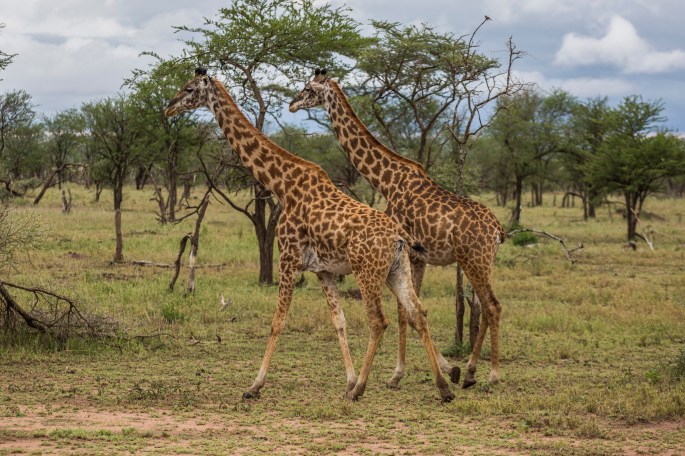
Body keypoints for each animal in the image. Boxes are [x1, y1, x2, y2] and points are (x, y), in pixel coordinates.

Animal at [165, 68, 455, 402]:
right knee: (417, 312)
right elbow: (339, 322)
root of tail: (398, 237)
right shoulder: (323, 270)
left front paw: (255, 385)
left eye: (189, 89)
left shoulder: (288, 258)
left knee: (378, 321)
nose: (168, 107)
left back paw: (362, 389)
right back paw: (443, 388)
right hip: (398, 270)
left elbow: (278, 321)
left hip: (367, 272)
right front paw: (348, 380)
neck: (282, 184)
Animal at [289, 69, 507, 389]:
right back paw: (469, 373)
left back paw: (490, 375)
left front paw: (397, 374)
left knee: (492, 306)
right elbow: (412, 310)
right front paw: (434, 370)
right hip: (481, 262)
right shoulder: (416, 257)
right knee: (484, 307)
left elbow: (406, 311)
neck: (386, 181)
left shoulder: (407, 252)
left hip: (474, 261)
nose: (291, 104)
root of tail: (497, 229)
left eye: (307, 88)